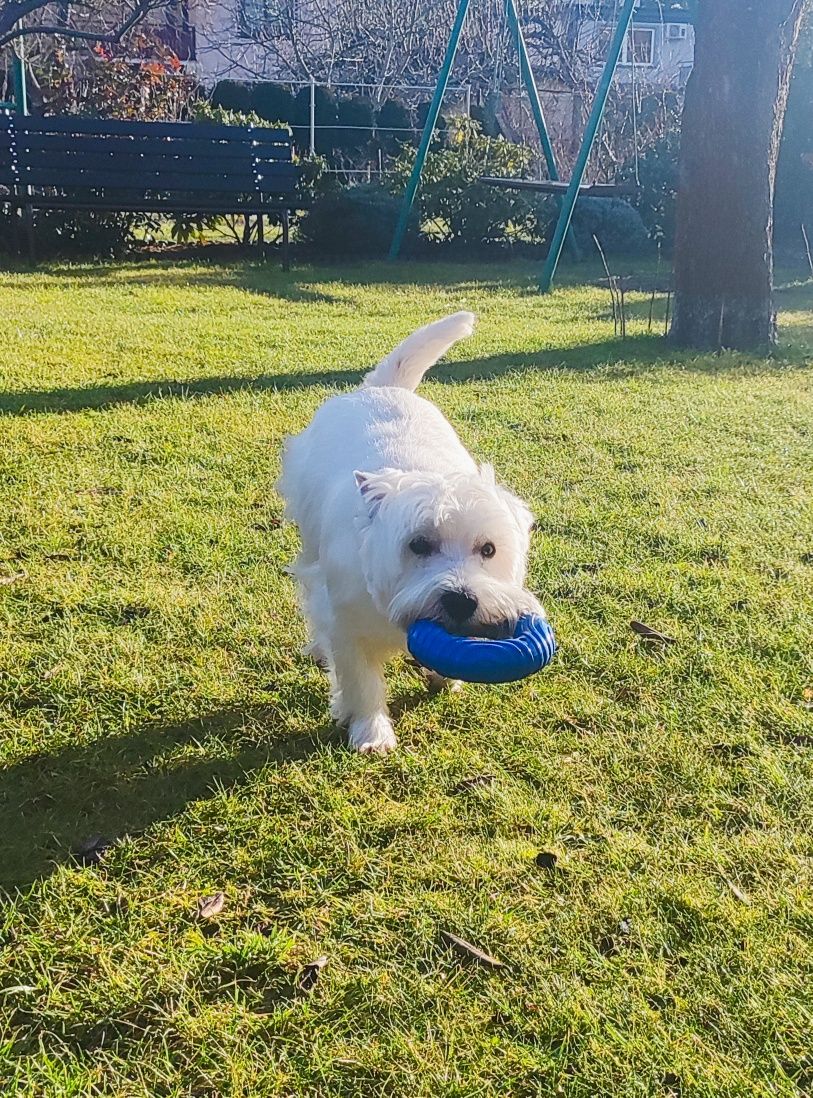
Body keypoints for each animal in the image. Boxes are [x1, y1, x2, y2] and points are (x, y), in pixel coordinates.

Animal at [275, 314, 542, 751]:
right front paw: (371, 732)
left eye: (488, 549)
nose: (461, 601)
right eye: (418, 545)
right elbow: (361, 680)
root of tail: (384, 388)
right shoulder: (348, 626)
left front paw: (444, 678)